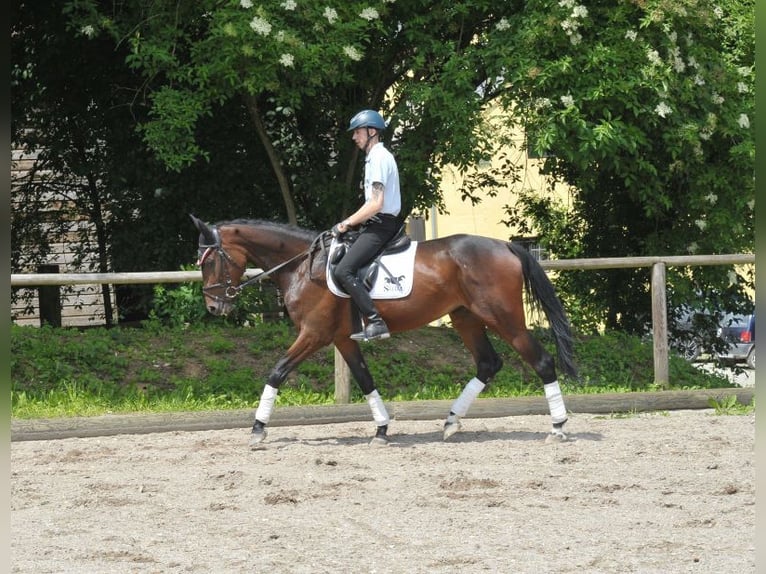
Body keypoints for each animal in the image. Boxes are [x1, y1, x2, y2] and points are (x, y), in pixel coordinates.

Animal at [190, 216, 576, 450]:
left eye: (210, 262)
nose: (214, 307)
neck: (301, 265)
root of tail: (506, 245)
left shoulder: (314, 334)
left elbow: (277, 372)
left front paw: (257, 428)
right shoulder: (342, 340)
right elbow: (365, 380)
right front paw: (381, 429)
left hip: (504, 318)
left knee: (541, 361)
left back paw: (557, 427)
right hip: (465, 318)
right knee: (488, 364)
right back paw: (451, 422)